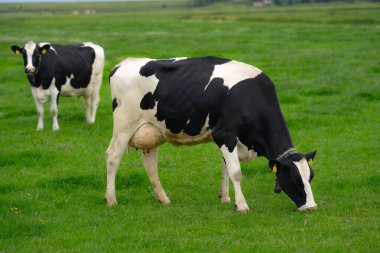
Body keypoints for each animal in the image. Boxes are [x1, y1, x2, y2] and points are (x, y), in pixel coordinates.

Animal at [104, 56, 318, 212]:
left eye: (310, 177)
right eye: (294, 179)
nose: (312, 207)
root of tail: (124, 63)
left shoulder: (229, 139)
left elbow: (226, 169)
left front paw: (226, 199)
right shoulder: (225, 135)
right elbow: (236, 172)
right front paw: (242, 205)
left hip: (153, 131)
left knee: (150, 165)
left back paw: (164, 199)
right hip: (124, 126)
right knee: (113, 157)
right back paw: (111, 199)